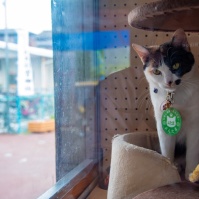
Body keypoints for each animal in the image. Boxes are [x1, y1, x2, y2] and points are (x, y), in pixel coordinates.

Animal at [134, 28, 199, 180]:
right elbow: (167, 150)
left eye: (176, 65)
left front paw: (190, 176)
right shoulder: (161, 122)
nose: (169, 82)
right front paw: (169, 171)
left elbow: (192, 153)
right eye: (156, 71)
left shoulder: (195, 123)